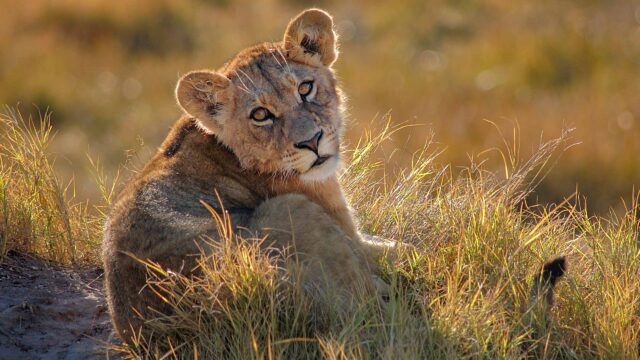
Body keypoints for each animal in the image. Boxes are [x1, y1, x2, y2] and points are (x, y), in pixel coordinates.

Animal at [104, 8, 396, 344]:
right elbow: (407, 250)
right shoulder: (351, 235)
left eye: (305, 88)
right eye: (260, 115)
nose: (312, 141)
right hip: (289, 209)